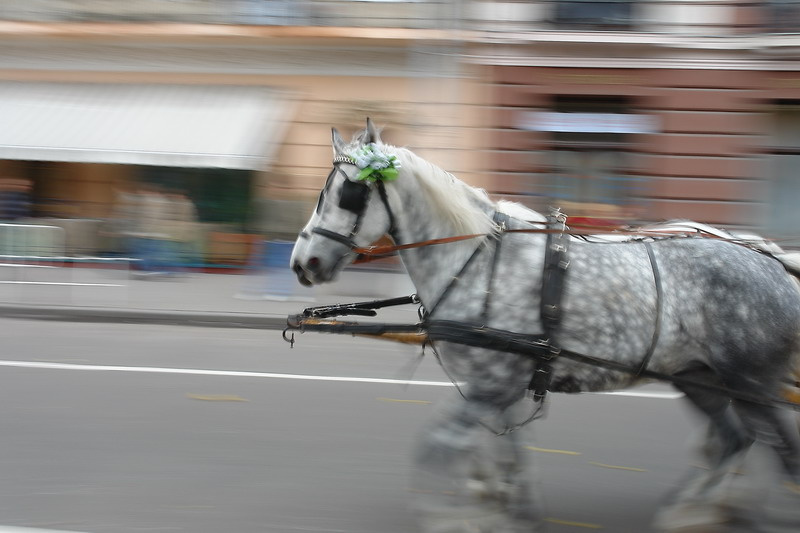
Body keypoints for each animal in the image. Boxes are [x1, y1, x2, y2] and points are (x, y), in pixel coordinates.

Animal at [290, 119, 800, 532]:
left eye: (346, 194)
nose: (302, 263)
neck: (478, 260)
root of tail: (776, 263)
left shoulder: (492, 387)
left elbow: (439, 446)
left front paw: (451, 517)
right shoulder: (503, 388)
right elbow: (505, 454)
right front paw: (508, 508)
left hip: (750, 383)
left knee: (779, 450)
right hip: (699, 380)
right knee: (735, 439)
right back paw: (688, 511)